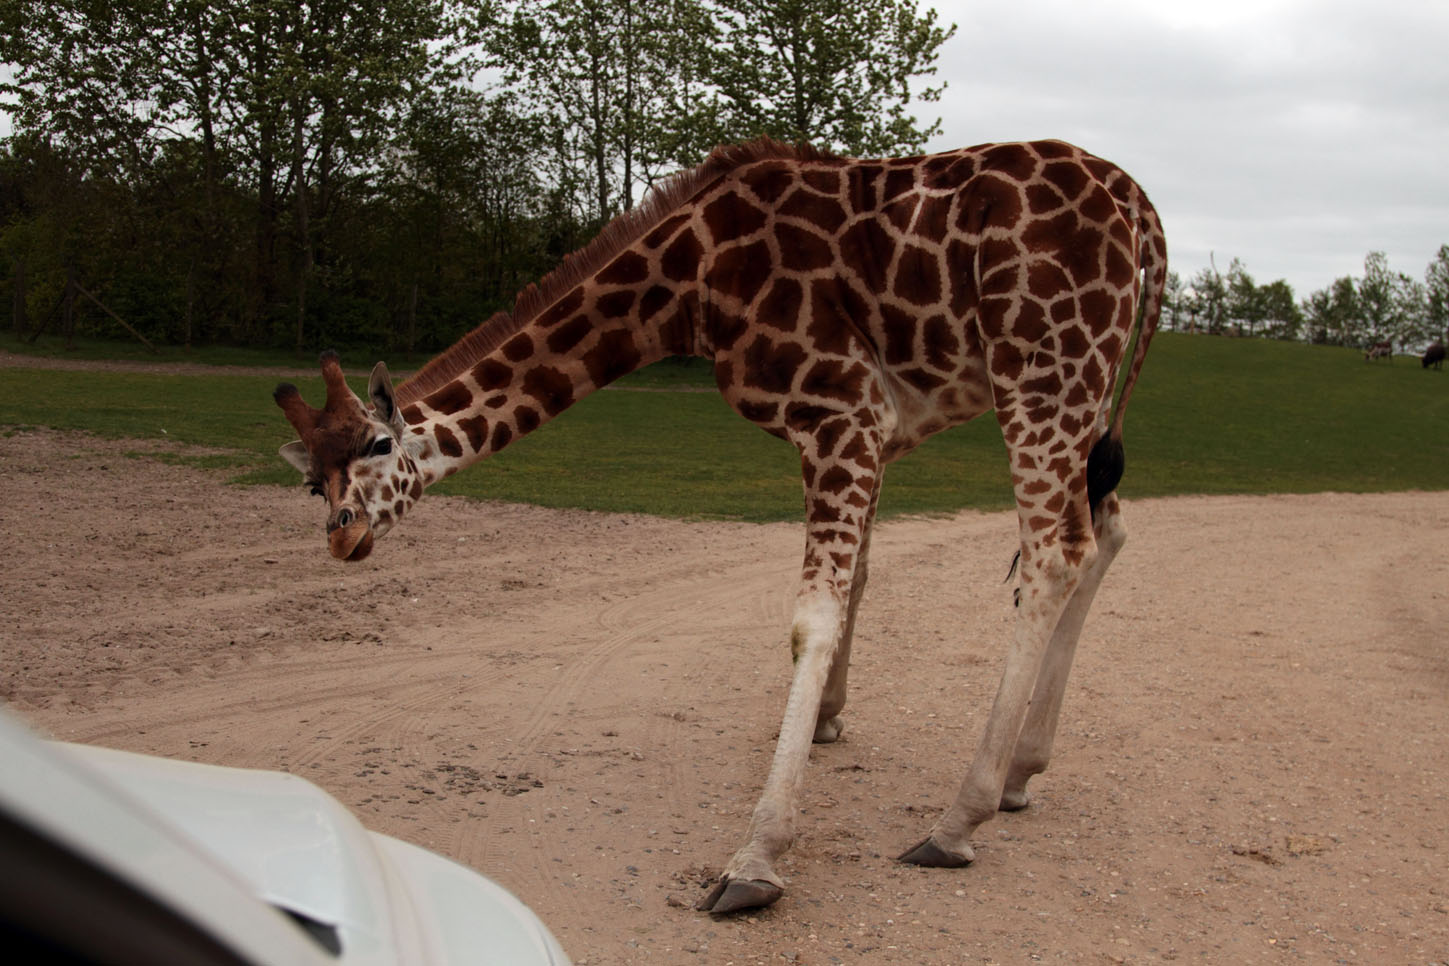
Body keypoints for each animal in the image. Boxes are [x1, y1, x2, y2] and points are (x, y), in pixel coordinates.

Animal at [276, 136, 1170, 915]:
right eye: (311, 480)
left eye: (379, 446)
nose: (341, 536)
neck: (687, 287)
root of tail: (1141, 210)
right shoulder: (873, 429)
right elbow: (858, 580)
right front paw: (826, 722)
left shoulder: (839, 410)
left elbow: (811, 616)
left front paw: (755, 859)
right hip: (1082, 389)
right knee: (1107, 531)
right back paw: (1021, 772)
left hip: (1043, 371)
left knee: (1054, 552)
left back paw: (956, 820)